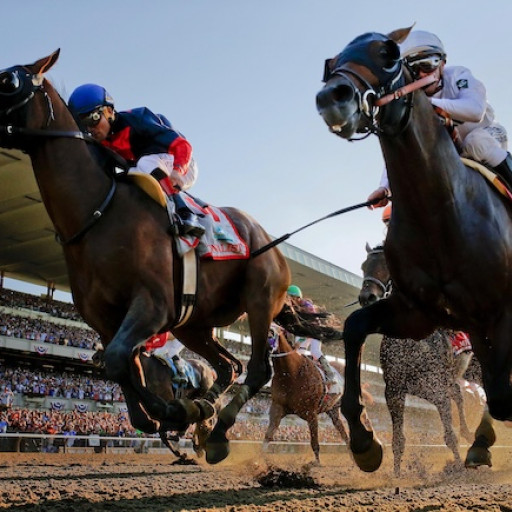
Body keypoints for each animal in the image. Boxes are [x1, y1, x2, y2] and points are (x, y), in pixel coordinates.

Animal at [0, 51, 290, 464]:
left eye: (8, 81)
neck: (99, 214)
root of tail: (270, 240)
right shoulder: (107, 320)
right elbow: (122, 365)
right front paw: (171, 414)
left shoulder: (152, 305)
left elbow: (123, 360)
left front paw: (175, 412)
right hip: (194, 323)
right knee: (227, 366)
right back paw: (207, 412)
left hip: (260, 298)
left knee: (258, 369)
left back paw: (216, 432)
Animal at [264, 326, 348, 466]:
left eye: (270, 333)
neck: (291, 373)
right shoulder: (277, 407)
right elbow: (268, 436)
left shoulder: (311, 414)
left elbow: (315, 443)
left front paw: (316, 464)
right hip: (333, 409)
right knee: (343, 432)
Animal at [358, 245, 494, 476]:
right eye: (363, 265)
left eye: (387, 263)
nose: (367, 297)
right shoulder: (394, 392)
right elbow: (398, 440)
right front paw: (396, 474)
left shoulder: (437, 390)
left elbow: (449, 435)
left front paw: (459, 469)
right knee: (459, 395)